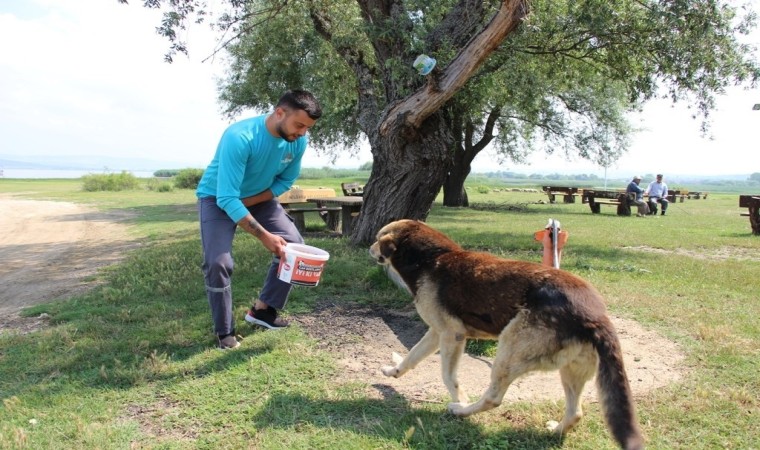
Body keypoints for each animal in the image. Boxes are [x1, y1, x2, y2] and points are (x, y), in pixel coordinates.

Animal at [372, 221, 644, 450]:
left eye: (377, 238)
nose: (370, 249)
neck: (431, 259)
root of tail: (596, 316)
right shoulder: (435, 333)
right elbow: (411, 357)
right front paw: (393, 372)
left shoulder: (452, 334)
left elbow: (449, 377)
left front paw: (460, 397)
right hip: (571, 370)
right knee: (575, 412)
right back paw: (555, 431)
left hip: (508, 350)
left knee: (493, 398)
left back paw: (461, 410)